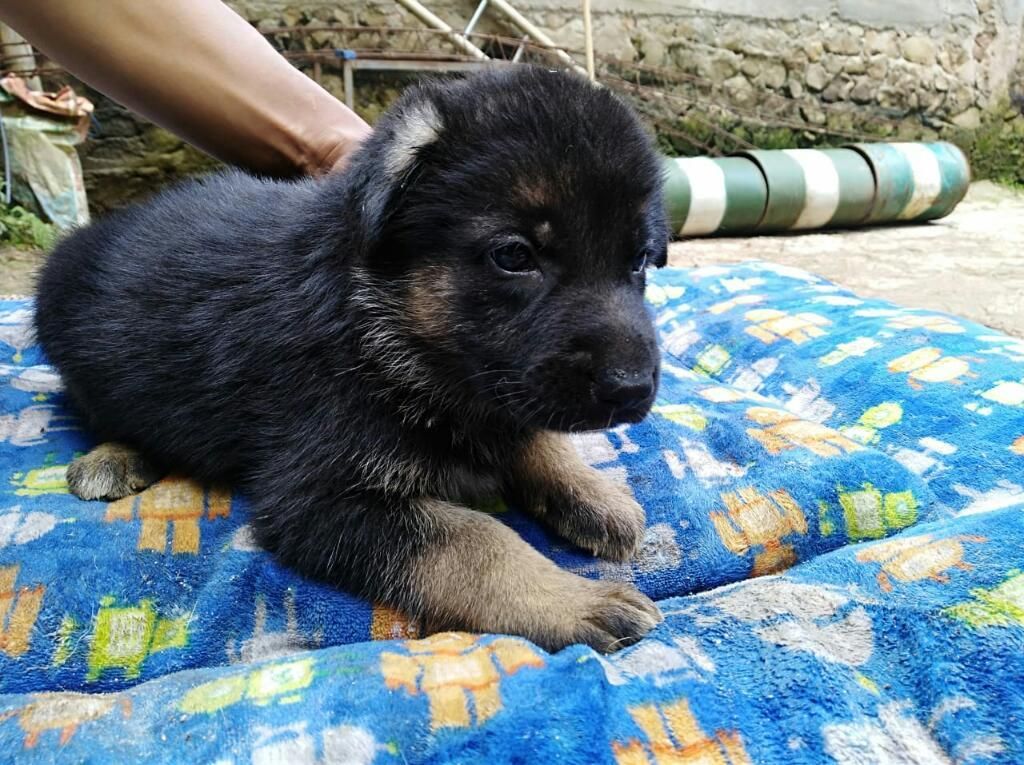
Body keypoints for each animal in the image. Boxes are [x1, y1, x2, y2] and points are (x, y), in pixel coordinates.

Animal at [34, 66, 663, 651]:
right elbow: (475, 540)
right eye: (514, 256)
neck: (386, 329)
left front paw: (592, 492)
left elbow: (530, 436)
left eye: (639, 260)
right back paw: (113, 457)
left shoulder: (499, 394)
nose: (632, 389)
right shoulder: (319, 500)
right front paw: (571, 600)